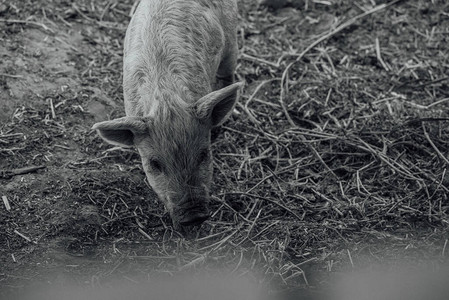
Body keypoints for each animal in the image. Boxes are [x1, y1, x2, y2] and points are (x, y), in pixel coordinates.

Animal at [90, 0, 242, 230]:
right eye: (154, 164)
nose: (194, 217)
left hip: (231, 36)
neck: (165, 100)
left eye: (204, 154)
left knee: (228, 71)